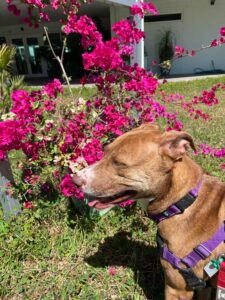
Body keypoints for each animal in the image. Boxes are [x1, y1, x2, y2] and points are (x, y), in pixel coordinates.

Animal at [73, 123, 225, 298]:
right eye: (105, 151)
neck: (183, 204)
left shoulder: (178, 290)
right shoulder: (204, 288)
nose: (74, 179)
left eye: (119, 163)